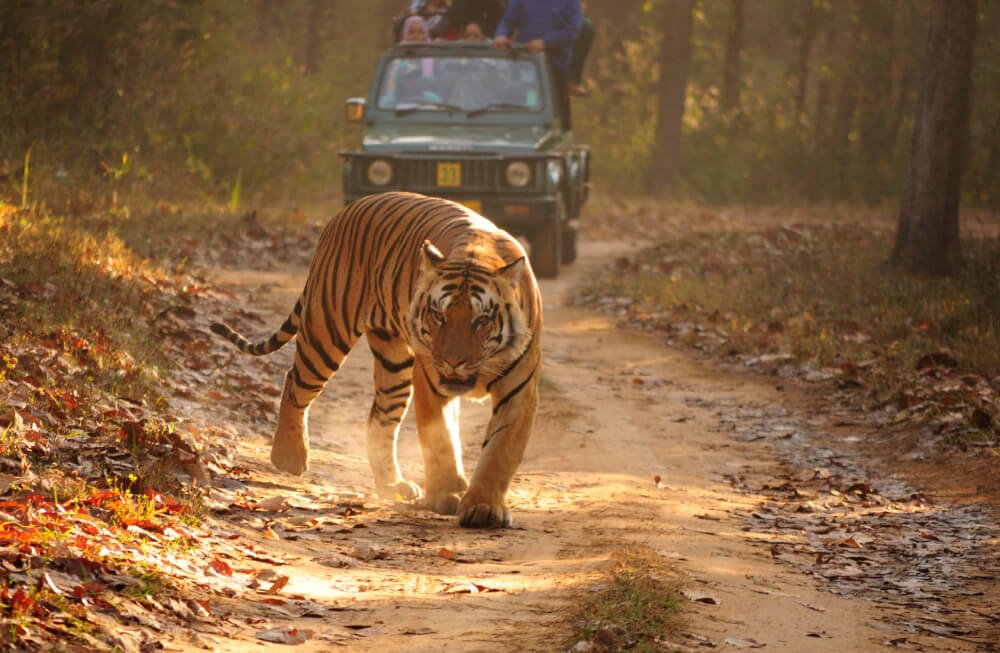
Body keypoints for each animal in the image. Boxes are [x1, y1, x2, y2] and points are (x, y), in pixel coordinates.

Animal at [210, 191, 542, 528]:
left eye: (481, 321)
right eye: (438, 315)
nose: (452, 362)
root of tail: (348, 209)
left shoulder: (519, 391)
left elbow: (500, 451)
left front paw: (483, 507)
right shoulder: (430, 381)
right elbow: (440, 441)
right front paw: (445, 495)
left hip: (393, 364)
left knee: (379, 419)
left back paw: (392, 484)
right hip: (327, 330)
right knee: (295, 382)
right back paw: (289, 456)